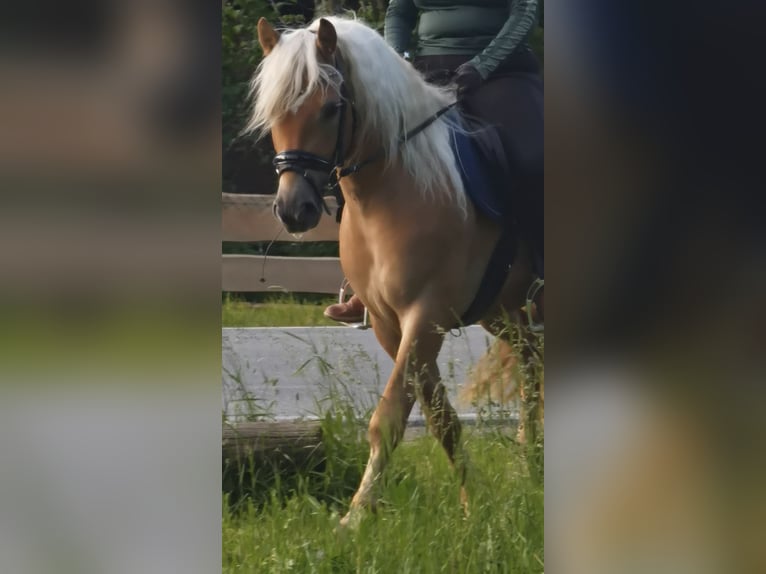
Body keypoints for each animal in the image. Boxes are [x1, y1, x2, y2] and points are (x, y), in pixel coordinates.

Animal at [248, 15, 543, 527]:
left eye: (331, 109)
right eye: (274, 113)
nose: (293, 210)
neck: (395, 189)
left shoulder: (426, 317)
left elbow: (388, 418)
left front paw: (355, 517)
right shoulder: (392, 325)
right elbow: (440, 419)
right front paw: (472, 504)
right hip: (507, 314)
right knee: (532, 370)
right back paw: (533, 466)